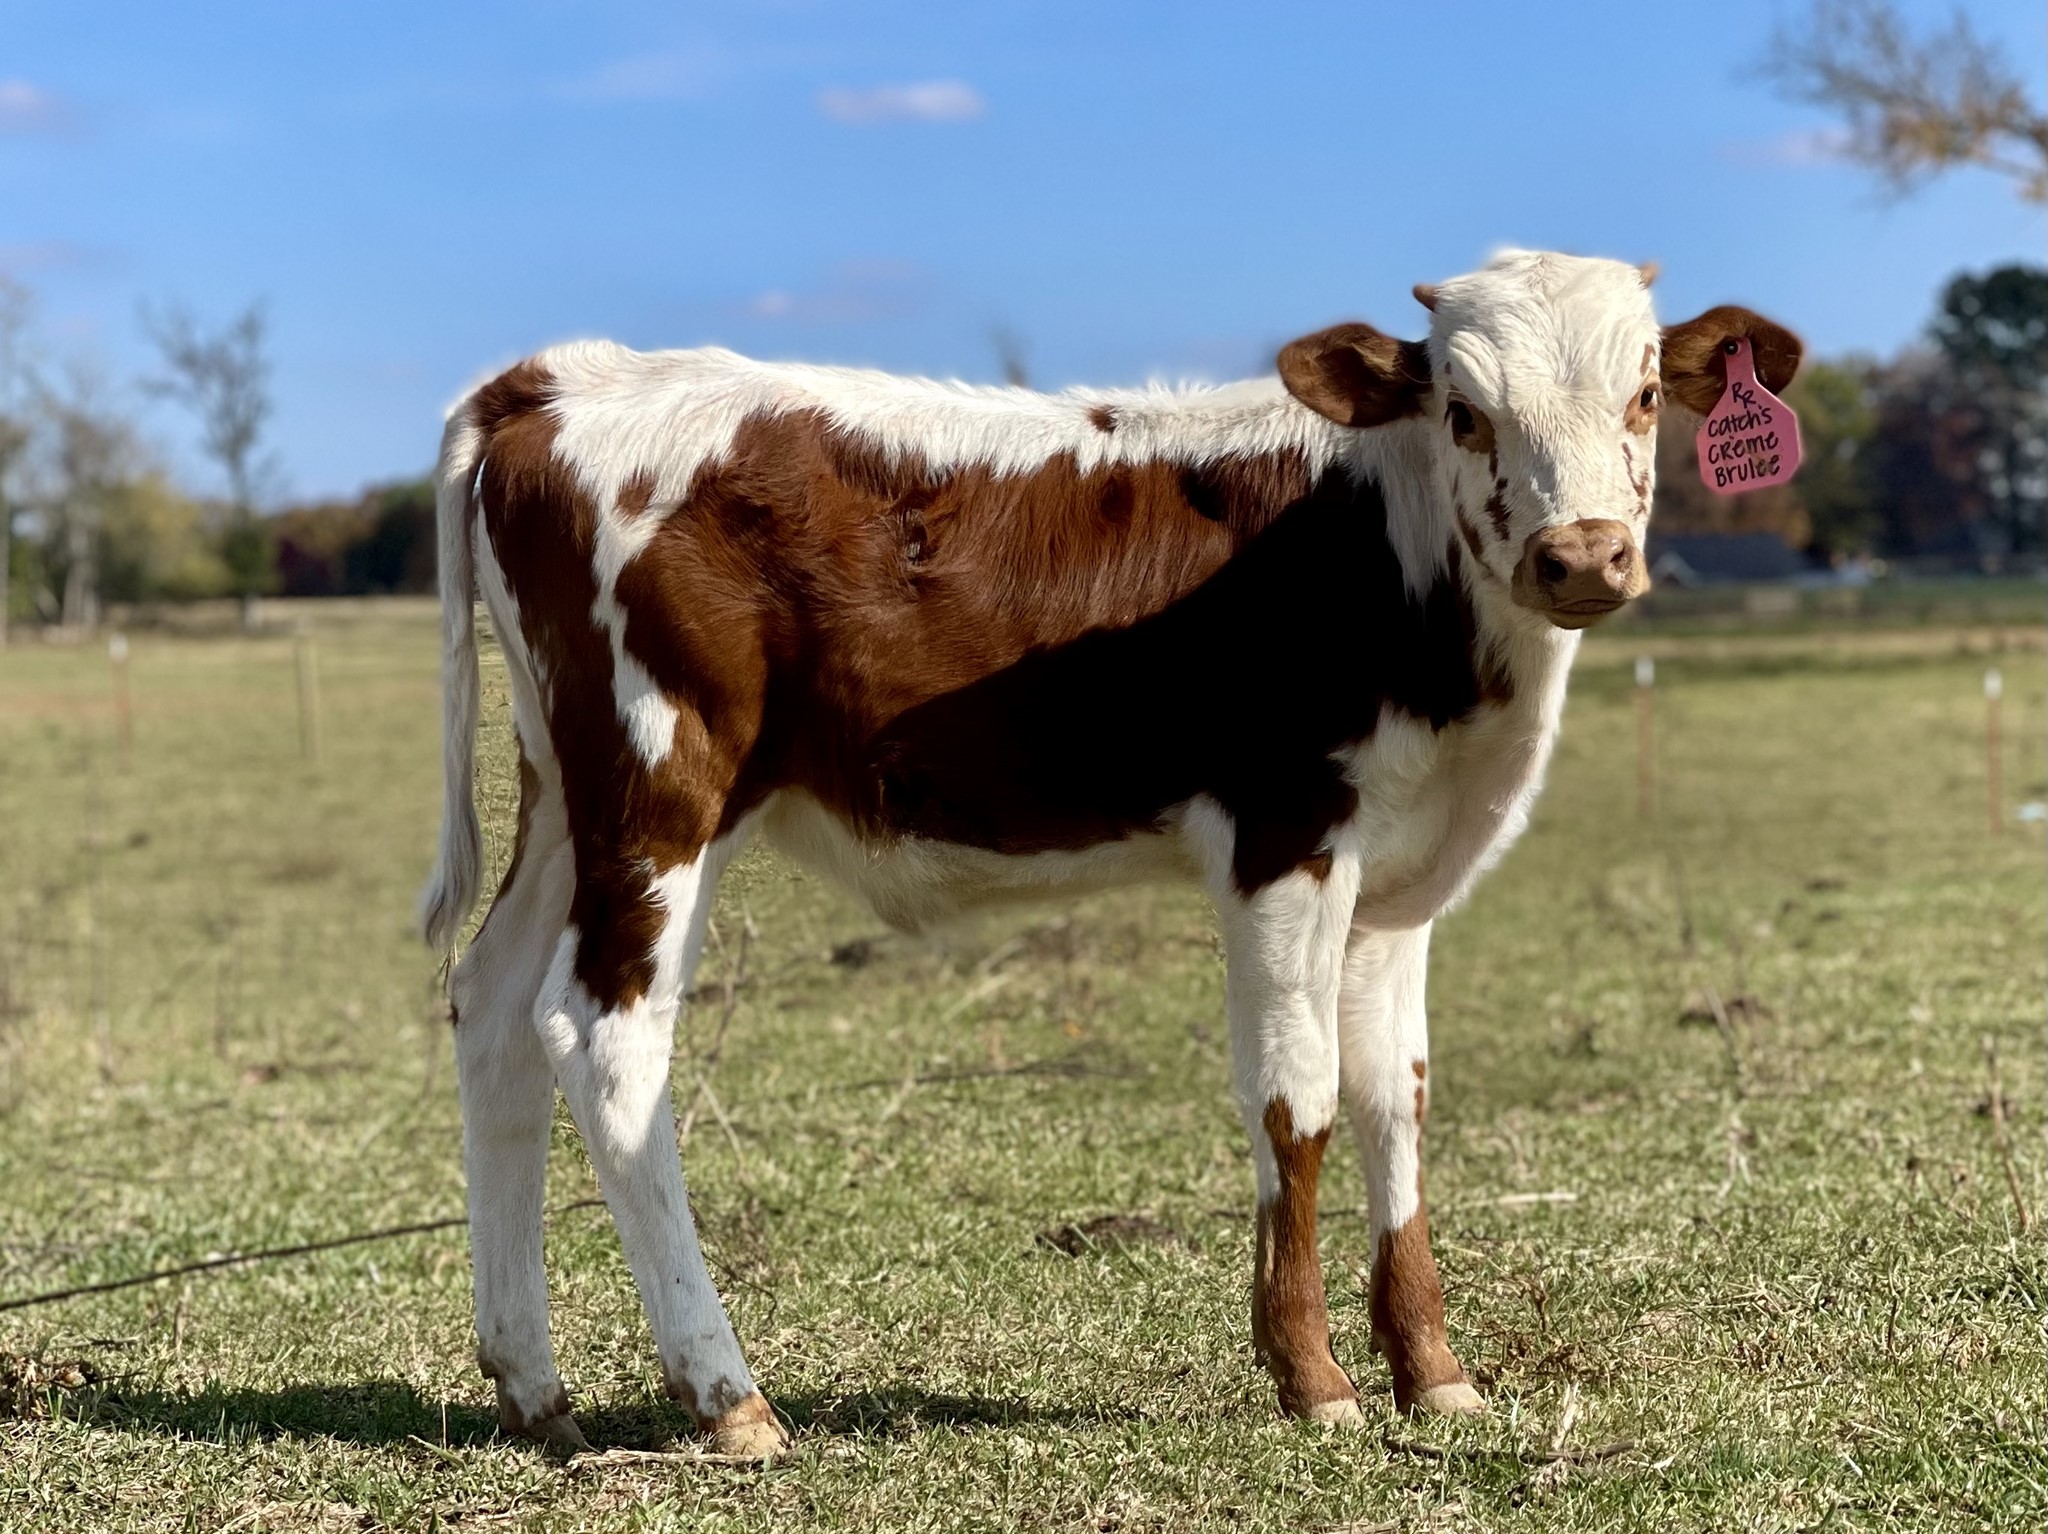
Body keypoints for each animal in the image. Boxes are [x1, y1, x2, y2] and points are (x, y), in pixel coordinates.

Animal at [419, 249, 1800, 1458]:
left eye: (1640, 394)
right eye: (1464, 412)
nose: (1580, 555)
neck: (1386, 554)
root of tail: (564, 378)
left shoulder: (1401, 880)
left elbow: (1391, 1099)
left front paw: (1432, 1371)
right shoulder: (1284, 838)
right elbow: (1294, 1098)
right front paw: (1313, 1378)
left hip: (567, 797)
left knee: (491, 1006)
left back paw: (531, 1387)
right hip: (663, 785)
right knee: (602, 1037)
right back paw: (726, 1395)